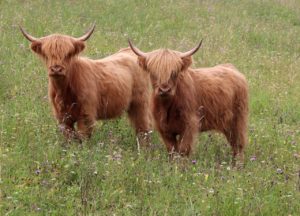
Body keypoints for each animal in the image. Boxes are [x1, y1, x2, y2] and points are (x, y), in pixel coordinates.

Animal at [18, 25, 151, 145]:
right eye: (47, 54)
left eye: (68, 54)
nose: (56, 69)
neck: (63, 91)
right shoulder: (62, 119)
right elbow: (70, 139)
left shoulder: (86, 116)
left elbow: (83, 138)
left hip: (140, 103)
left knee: (143, 128)